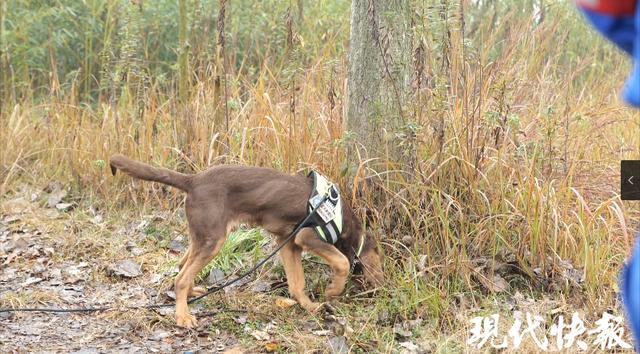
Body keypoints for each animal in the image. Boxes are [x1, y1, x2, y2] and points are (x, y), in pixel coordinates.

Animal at [109, 155, 384, 330]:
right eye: (379, 260)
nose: (382, 288)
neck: (345, 220)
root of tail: (193, 180)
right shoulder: (306, 236)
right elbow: (342, 262)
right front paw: (333, 290)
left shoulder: (288, 242)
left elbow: (296, 283)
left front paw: (309, 306)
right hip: (214, 240)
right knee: (181, 278)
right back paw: (183, 317)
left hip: (203, 235)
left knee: (181, 264)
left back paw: (192, 294)